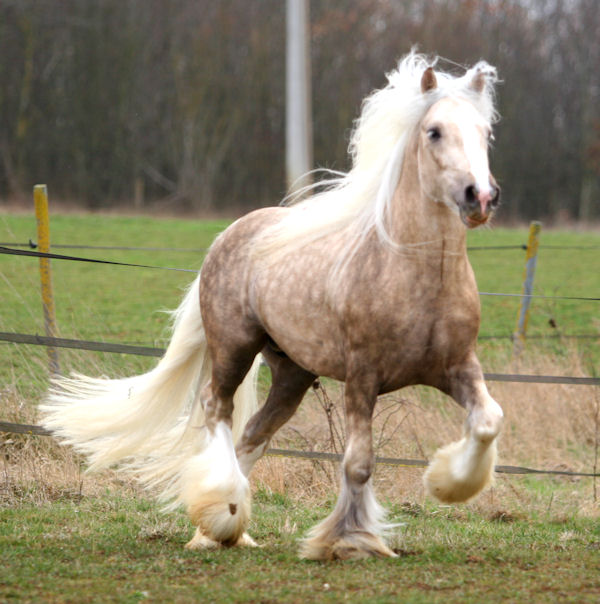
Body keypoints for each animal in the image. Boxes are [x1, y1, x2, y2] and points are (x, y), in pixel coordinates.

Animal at [39, 54, 504, 560]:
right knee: (217, 409)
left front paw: (445, 484)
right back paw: (220, 517)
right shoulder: (363, 377)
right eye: (434, 131)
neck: (417, 272)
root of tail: (229, 234)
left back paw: (223, 525)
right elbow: (359, 462)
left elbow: (488, 421)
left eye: (486, 133)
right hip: (234, 349)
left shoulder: (457, 367)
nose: (480, 197)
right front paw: (347, 540)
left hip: (292, 375)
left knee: (252, 436)